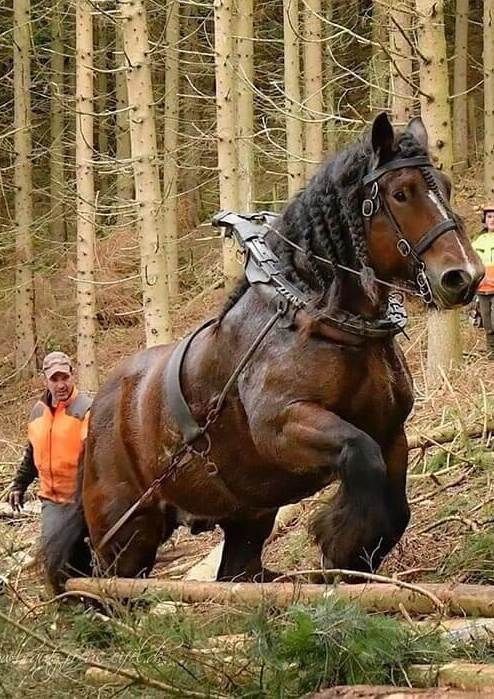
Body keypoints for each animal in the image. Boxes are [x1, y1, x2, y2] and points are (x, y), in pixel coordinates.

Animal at [50, 115, 482, 592]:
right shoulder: (283, 425)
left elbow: (394, 509)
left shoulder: (391, 432)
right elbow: (360, 456)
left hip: (246, 517)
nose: (464, 276)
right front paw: (338, 539)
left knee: (236, 572)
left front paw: (348, 558)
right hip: (126, 533)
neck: (318, 318)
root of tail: (95, 412)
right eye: (401, 193)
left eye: (445, 186)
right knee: (110, 587)